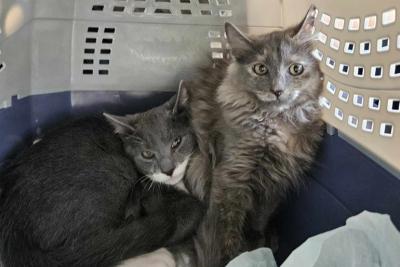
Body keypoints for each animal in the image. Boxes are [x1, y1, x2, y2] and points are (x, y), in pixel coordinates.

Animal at [184, 6, 324, 267]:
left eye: (296, 69)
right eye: (261, 69)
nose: (278, 90)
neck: (273, 125)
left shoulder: (274, 182)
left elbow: (259, 219)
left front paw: (255, 242)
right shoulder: (232, 176)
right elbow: (227, 231)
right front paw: (233, 258)